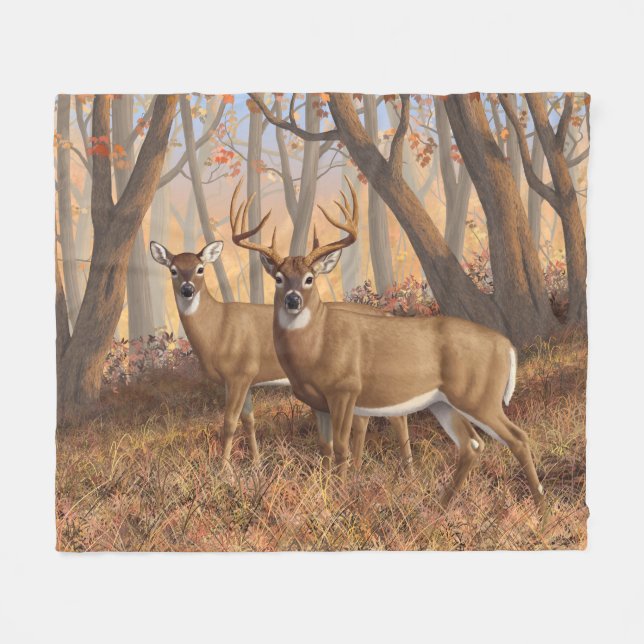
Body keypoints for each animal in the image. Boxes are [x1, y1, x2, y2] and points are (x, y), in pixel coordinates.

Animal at [150, 183, 412, 473]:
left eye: (199, 269)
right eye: (173, 270)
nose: (187, 290)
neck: (217, 327)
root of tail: (385, 313)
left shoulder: (240, 372)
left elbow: (229, 423)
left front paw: (223, 470)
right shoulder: (245, 378)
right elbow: (249, 420)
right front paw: (255, 464)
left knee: (397, 415)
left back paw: (405, 469)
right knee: (365, 419)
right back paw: (358, 468)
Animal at [231, 178, 547, 512]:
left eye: (309, 278)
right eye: (279, 278)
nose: (293, 301)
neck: (316, 346)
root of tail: (507, 346)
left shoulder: (345, 390)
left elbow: (341, 448)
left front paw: (340, 497)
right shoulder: (318, 402)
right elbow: (325, 449)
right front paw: (327, 494)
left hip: (479, 397)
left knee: (517, 437)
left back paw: (540, 506)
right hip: (443, 402)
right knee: (472, 444)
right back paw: (440, 506)